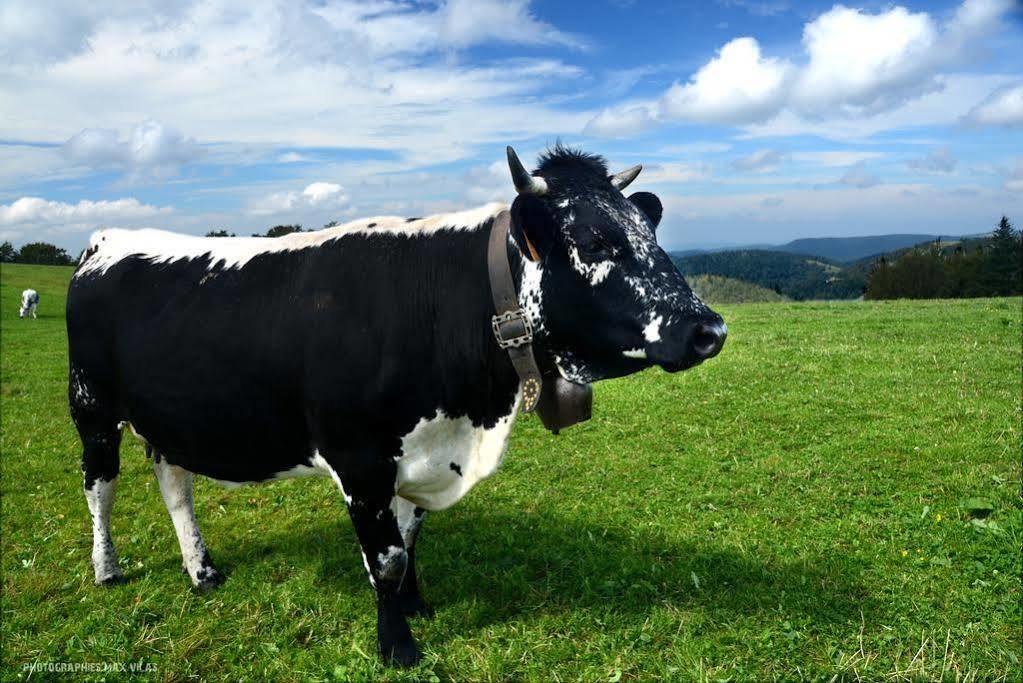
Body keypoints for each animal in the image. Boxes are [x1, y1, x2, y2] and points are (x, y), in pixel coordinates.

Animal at [68, 145, 724, 666]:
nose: (709, 330)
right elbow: (383, 558)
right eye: (593, 240)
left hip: (167, 419)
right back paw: (108, 569)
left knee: (175, 486)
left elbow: (410, 541)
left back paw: (201, 571)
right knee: (100, 489)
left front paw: (417, 605)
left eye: (650, 233)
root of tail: (106, 240)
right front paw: (398, 644)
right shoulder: (359, 458)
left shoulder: (421, 449)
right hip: (91, 407)